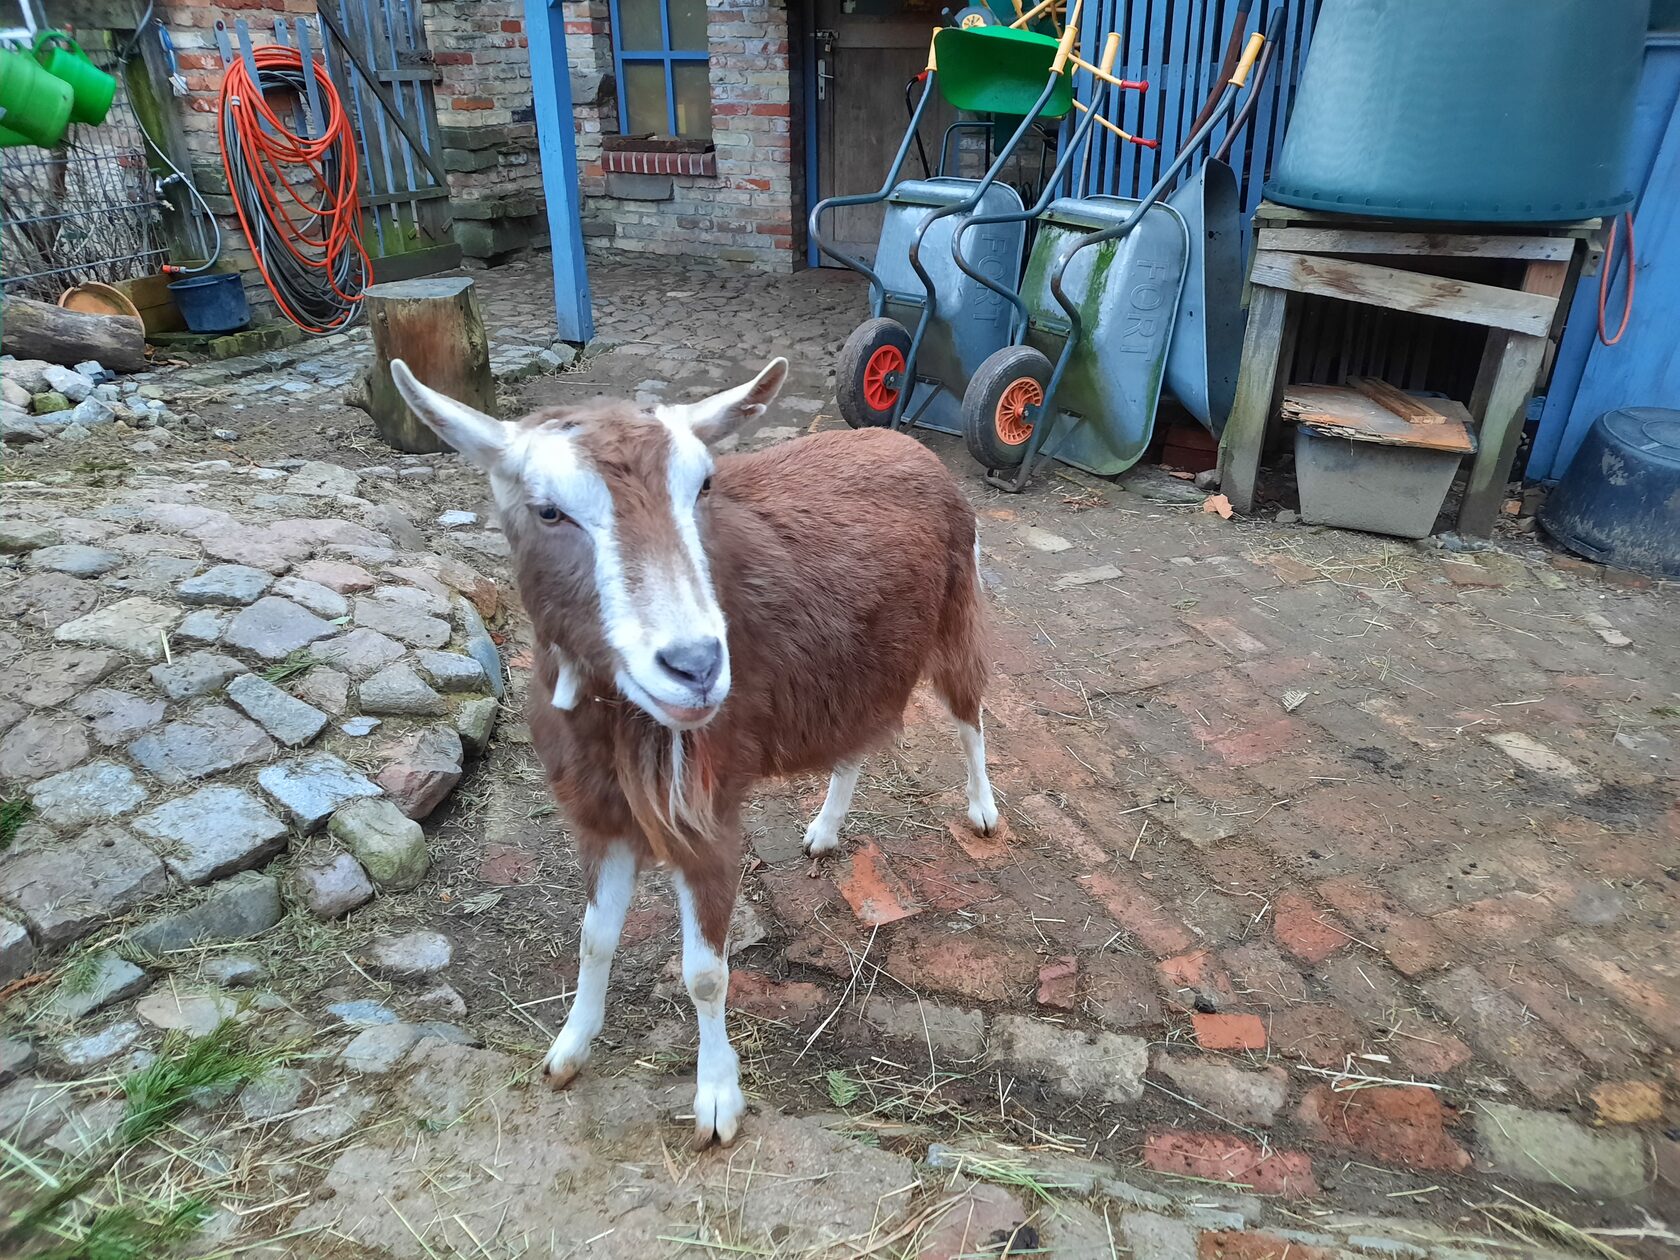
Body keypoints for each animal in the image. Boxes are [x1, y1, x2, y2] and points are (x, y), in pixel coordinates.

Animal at [393, 356, 994, 1142]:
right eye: (547, 510)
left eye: (702, 486)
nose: (697, 665)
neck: (617, 730)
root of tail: (913, 447)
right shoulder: (601, 815)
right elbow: (593, 938)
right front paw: (568, 1051)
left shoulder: (704, 812)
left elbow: (706, 972)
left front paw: (716, 1100)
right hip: (864, 665)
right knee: (860, 739)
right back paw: (826, 830)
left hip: (956, 609)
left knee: (971, 709)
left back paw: (983, 812)